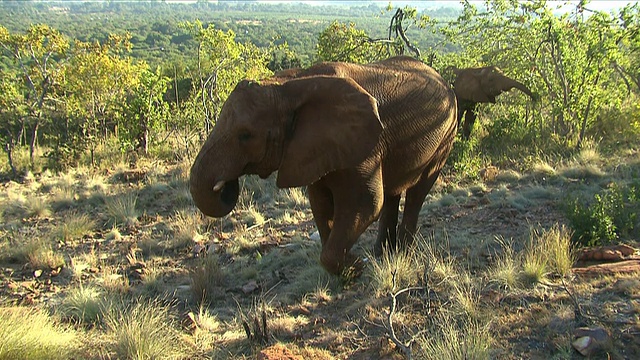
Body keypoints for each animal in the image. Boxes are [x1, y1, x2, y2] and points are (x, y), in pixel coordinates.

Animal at [188, 56, 458, 274]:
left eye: (245, 136)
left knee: (417, 193)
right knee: (393, 192)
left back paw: (401, 253)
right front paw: (351, 266)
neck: (288, 85)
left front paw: (354, 268)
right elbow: (320, 204)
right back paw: (382, 254)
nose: (227, 185)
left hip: (446, 133)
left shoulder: (364, 146)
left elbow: (366, 204)